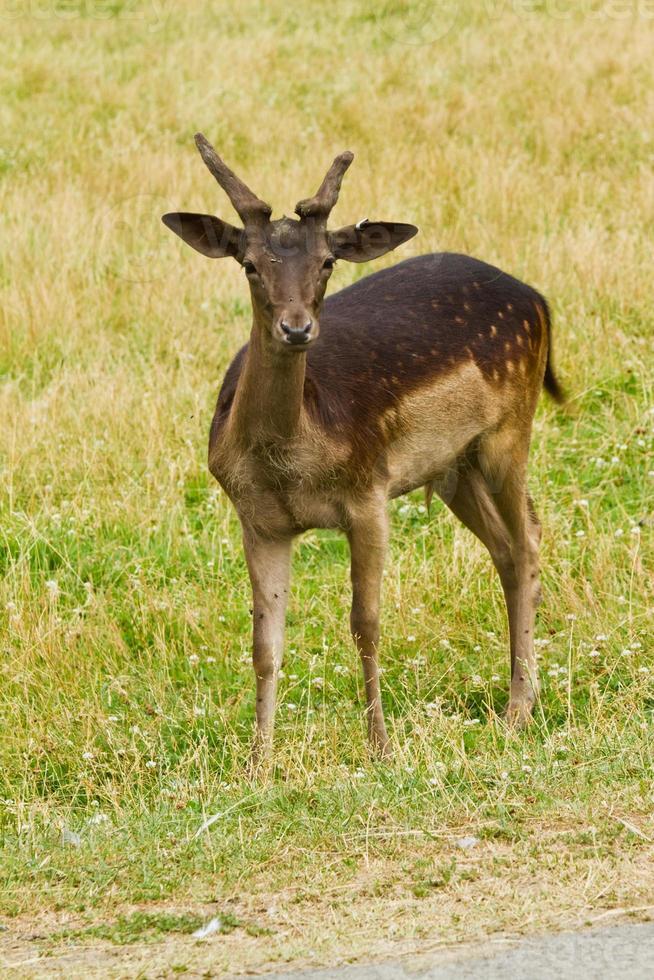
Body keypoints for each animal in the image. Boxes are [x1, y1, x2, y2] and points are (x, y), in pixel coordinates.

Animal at [163, 134, 564, 768]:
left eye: (326, 261)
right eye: (249, 263)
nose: (296, 327)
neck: (291, 460)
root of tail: (539, 299)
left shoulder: (369, 491)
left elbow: (365, 622)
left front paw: (380, 746)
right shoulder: (257, 519)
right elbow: (264, 642)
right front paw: (258, 761)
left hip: (509, 430)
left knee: (527, 539)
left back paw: (518, 710)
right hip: (454, 466)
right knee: (508, 544)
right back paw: (525, 692)